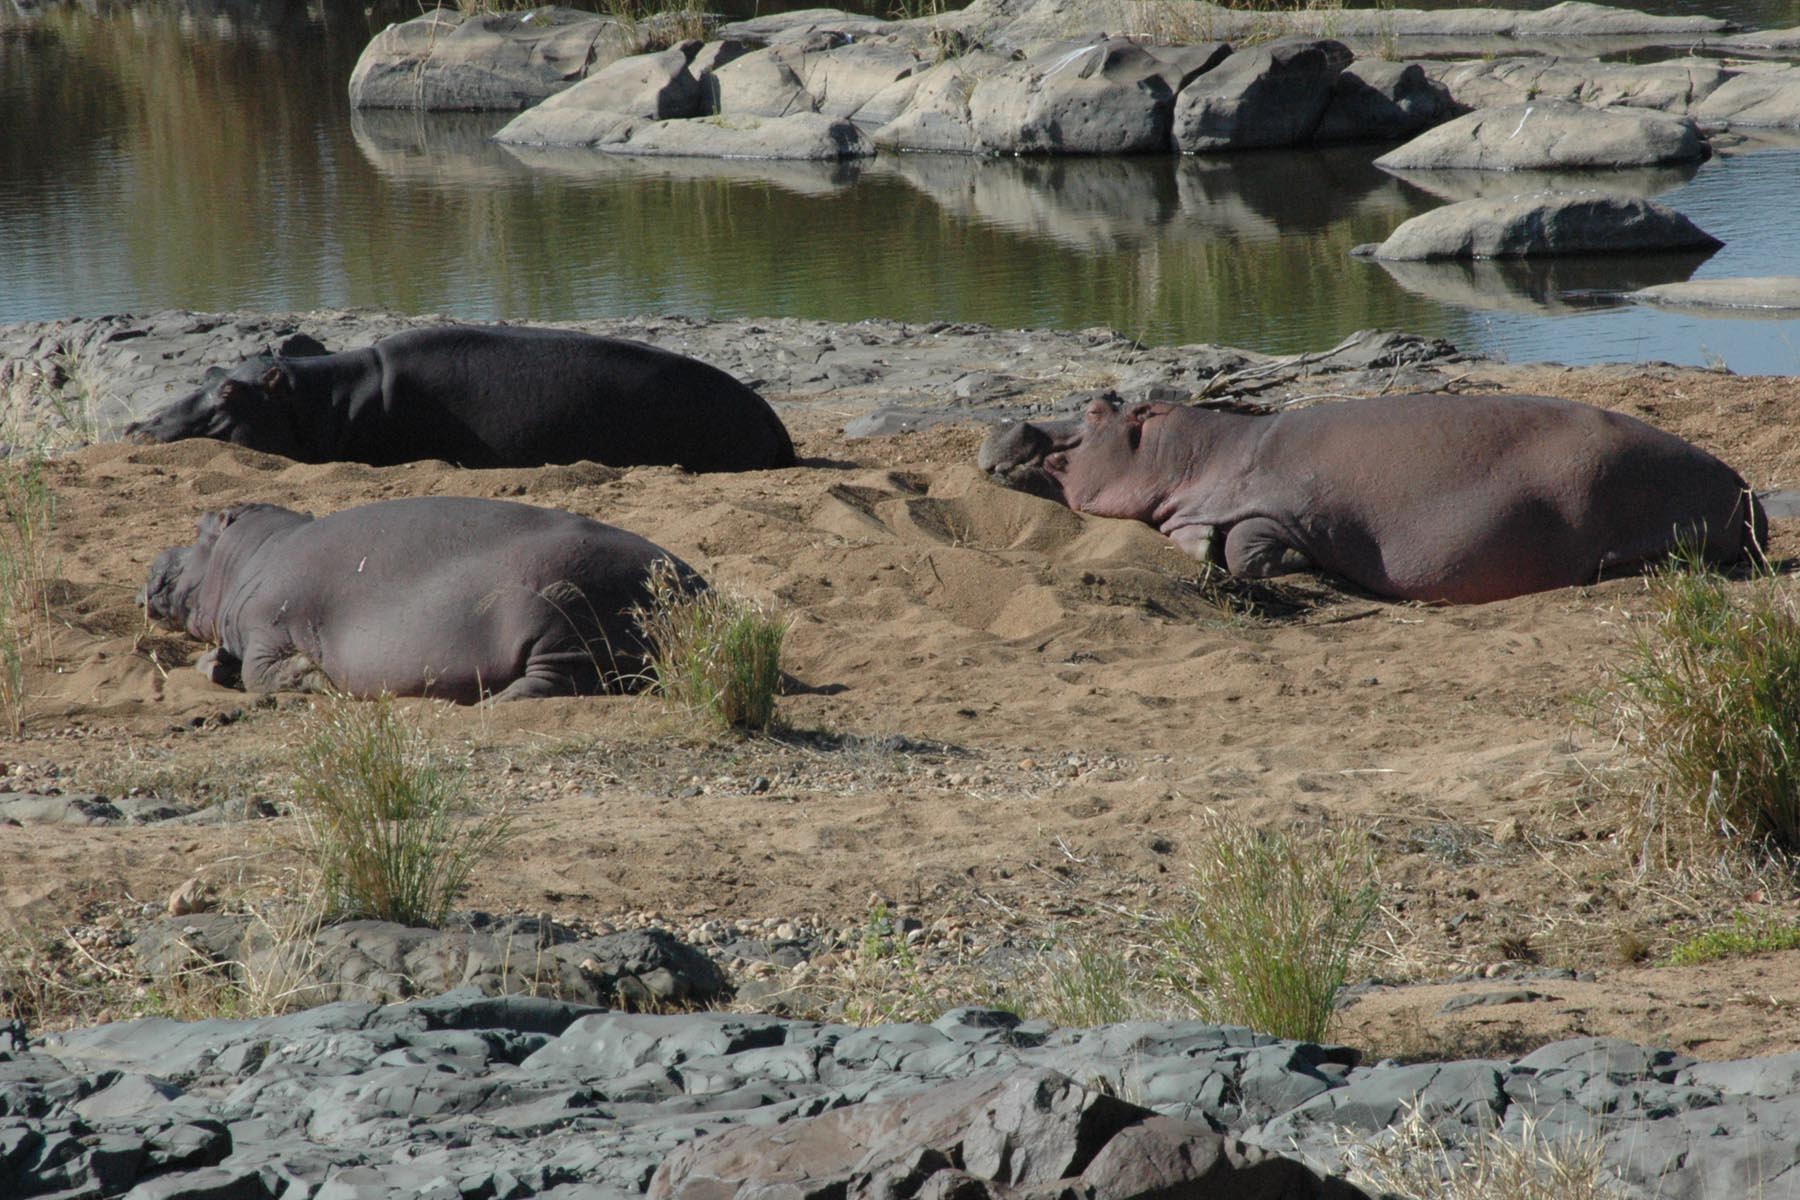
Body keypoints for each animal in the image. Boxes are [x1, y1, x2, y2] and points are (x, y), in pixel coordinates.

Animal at [141, 497, 704, 702]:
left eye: (199, 528)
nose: (154, 561)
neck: (250, 553)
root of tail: (699, 592)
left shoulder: (269, 626)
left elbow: (262, 671)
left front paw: (312, 679)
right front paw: (213, 665)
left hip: (557, 613)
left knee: (558, 680)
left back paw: (493, 702)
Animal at [978, 391, 1766, 604]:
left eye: (1095, 409)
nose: (1007, 422)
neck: (1189, 453)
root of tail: (1743, 482)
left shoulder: (1275, 503)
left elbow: (1248, 547)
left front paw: (1301, 566)